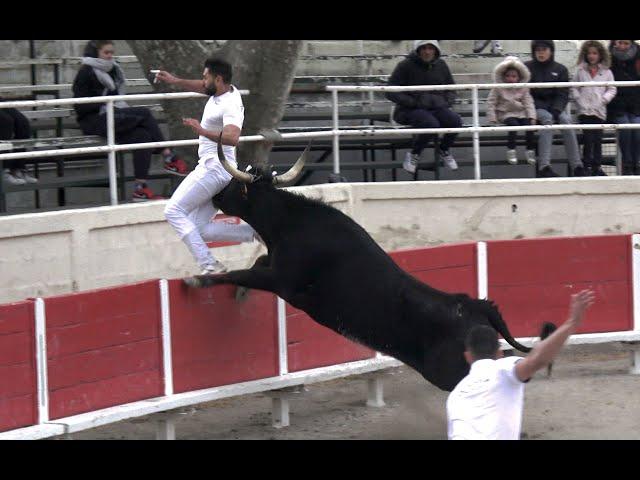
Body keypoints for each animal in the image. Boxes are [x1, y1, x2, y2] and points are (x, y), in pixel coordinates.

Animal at [186, 142, 536, 390]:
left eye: (236, 185)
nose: (216, 196)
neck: (289, 223)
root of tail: (475, 305)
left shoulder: (282, 280)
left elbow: (241, 273)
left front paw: (198, 280)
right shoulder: (274, 266)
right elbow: (253, 265)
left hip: (451, 371)